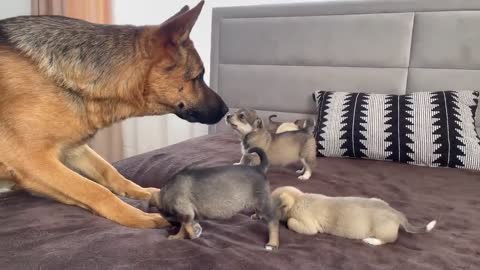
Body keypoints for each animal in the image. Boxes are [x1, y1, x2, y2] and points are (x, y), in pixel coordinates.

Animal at [152, 147, 280, 250]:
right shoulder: (187, 215)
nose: (172, 226)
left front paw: (188, 235)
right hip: (259, 200)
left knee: (273, 221)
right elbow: (184, 226)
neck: (168, 191)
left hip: (263, 203)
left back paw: (272, 243)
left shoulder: (185, 212)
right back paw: (258, 216)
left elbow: (185, 225)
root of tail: (258, 168)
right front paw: (179, 236)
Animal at [272, 187, 436, 246]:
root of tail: (396, 213)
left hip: (382, 231)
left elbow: (291, 222)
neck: (298, 199)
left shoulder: (308, 226)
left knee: (388, 240)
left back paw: (371, 241)